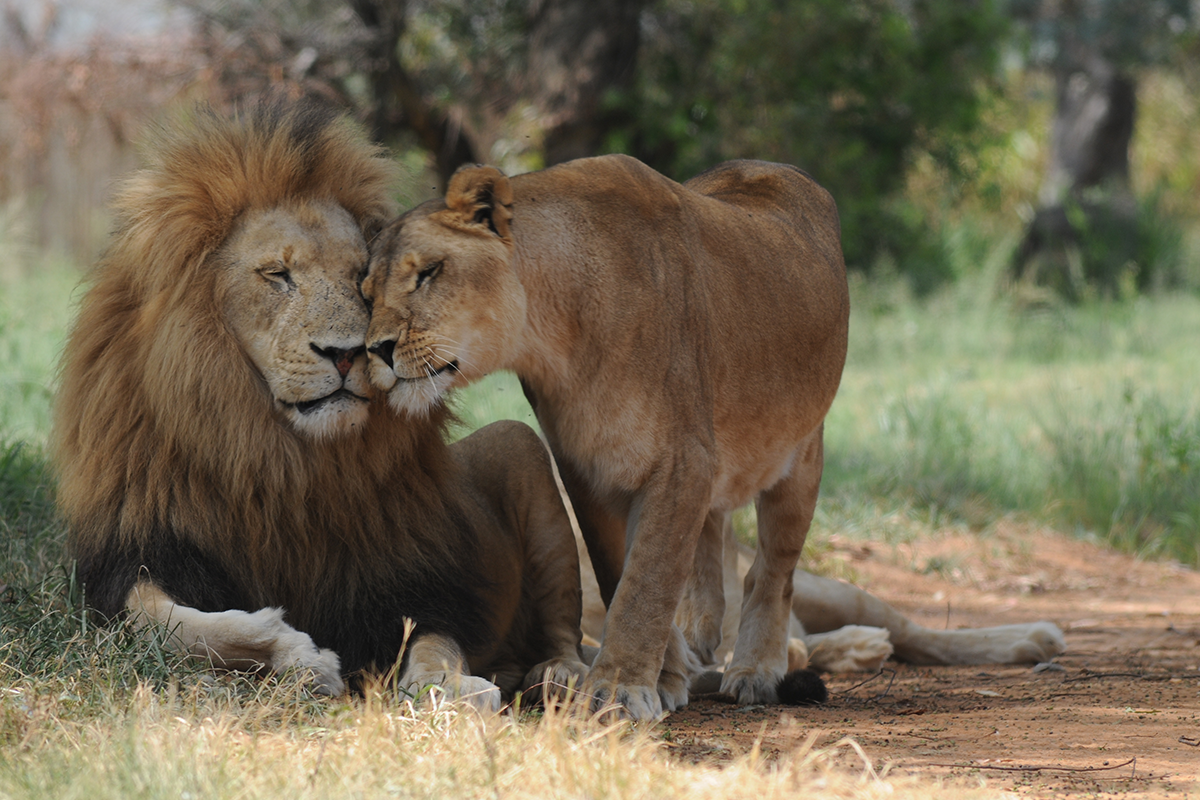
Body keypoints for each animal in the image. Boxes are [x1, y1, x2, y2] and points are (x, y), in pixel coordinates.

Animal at [51, 103, 585, 710]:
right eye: (278, 275)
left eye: (361, 277)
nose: (349, 354)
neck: (282, 456)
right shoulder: (137, 557)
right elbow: (170, 623)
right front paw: (295, 656)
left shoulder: (412, 577)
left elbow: (434, 642)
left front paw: (447, 688)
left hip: (522, 450)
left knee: (565, 627)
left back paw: (559, 676)